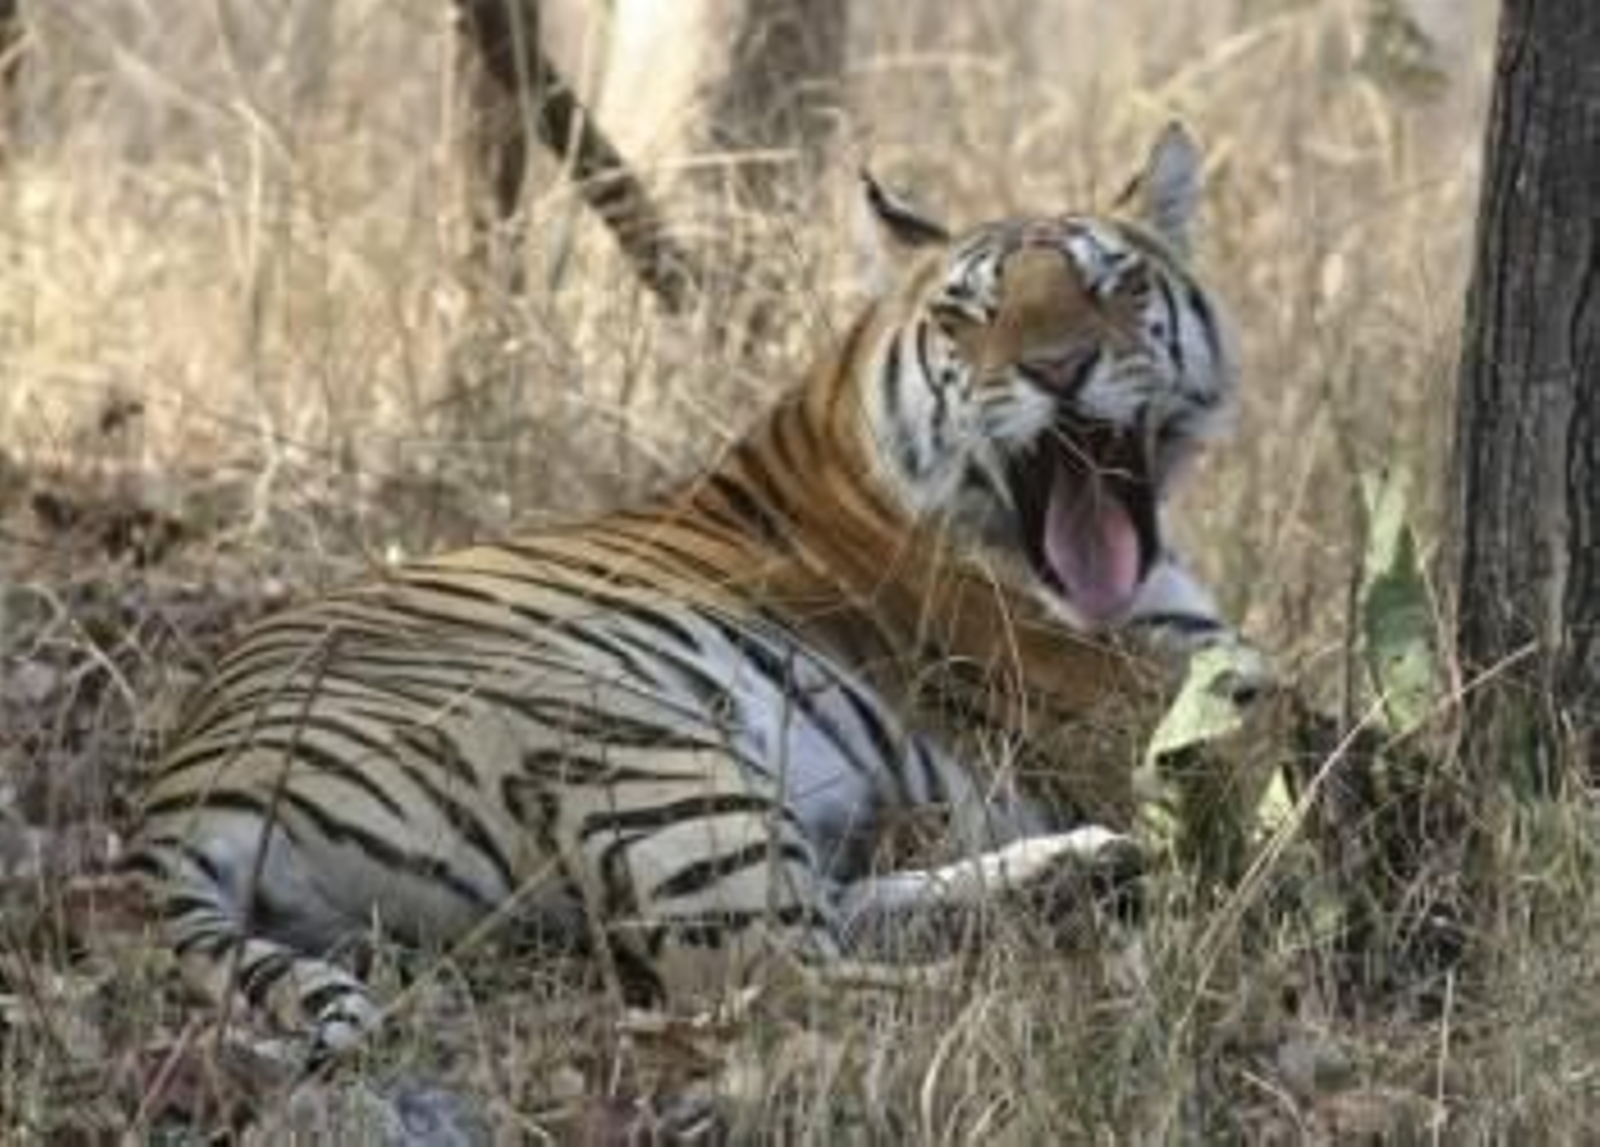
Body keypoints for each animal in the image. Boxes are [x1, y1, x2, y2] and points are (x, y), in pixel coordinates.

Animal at [126, 124, 1253, 1059]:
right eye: (969, 315)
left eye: (1114, 286)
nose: (1059, 370)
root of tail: (169, 808)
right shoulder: (1125, 700)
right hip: (645, 743)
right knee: (767, 977)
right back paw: (1050, 985)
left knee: (820, 917)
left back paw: (1075, 871)